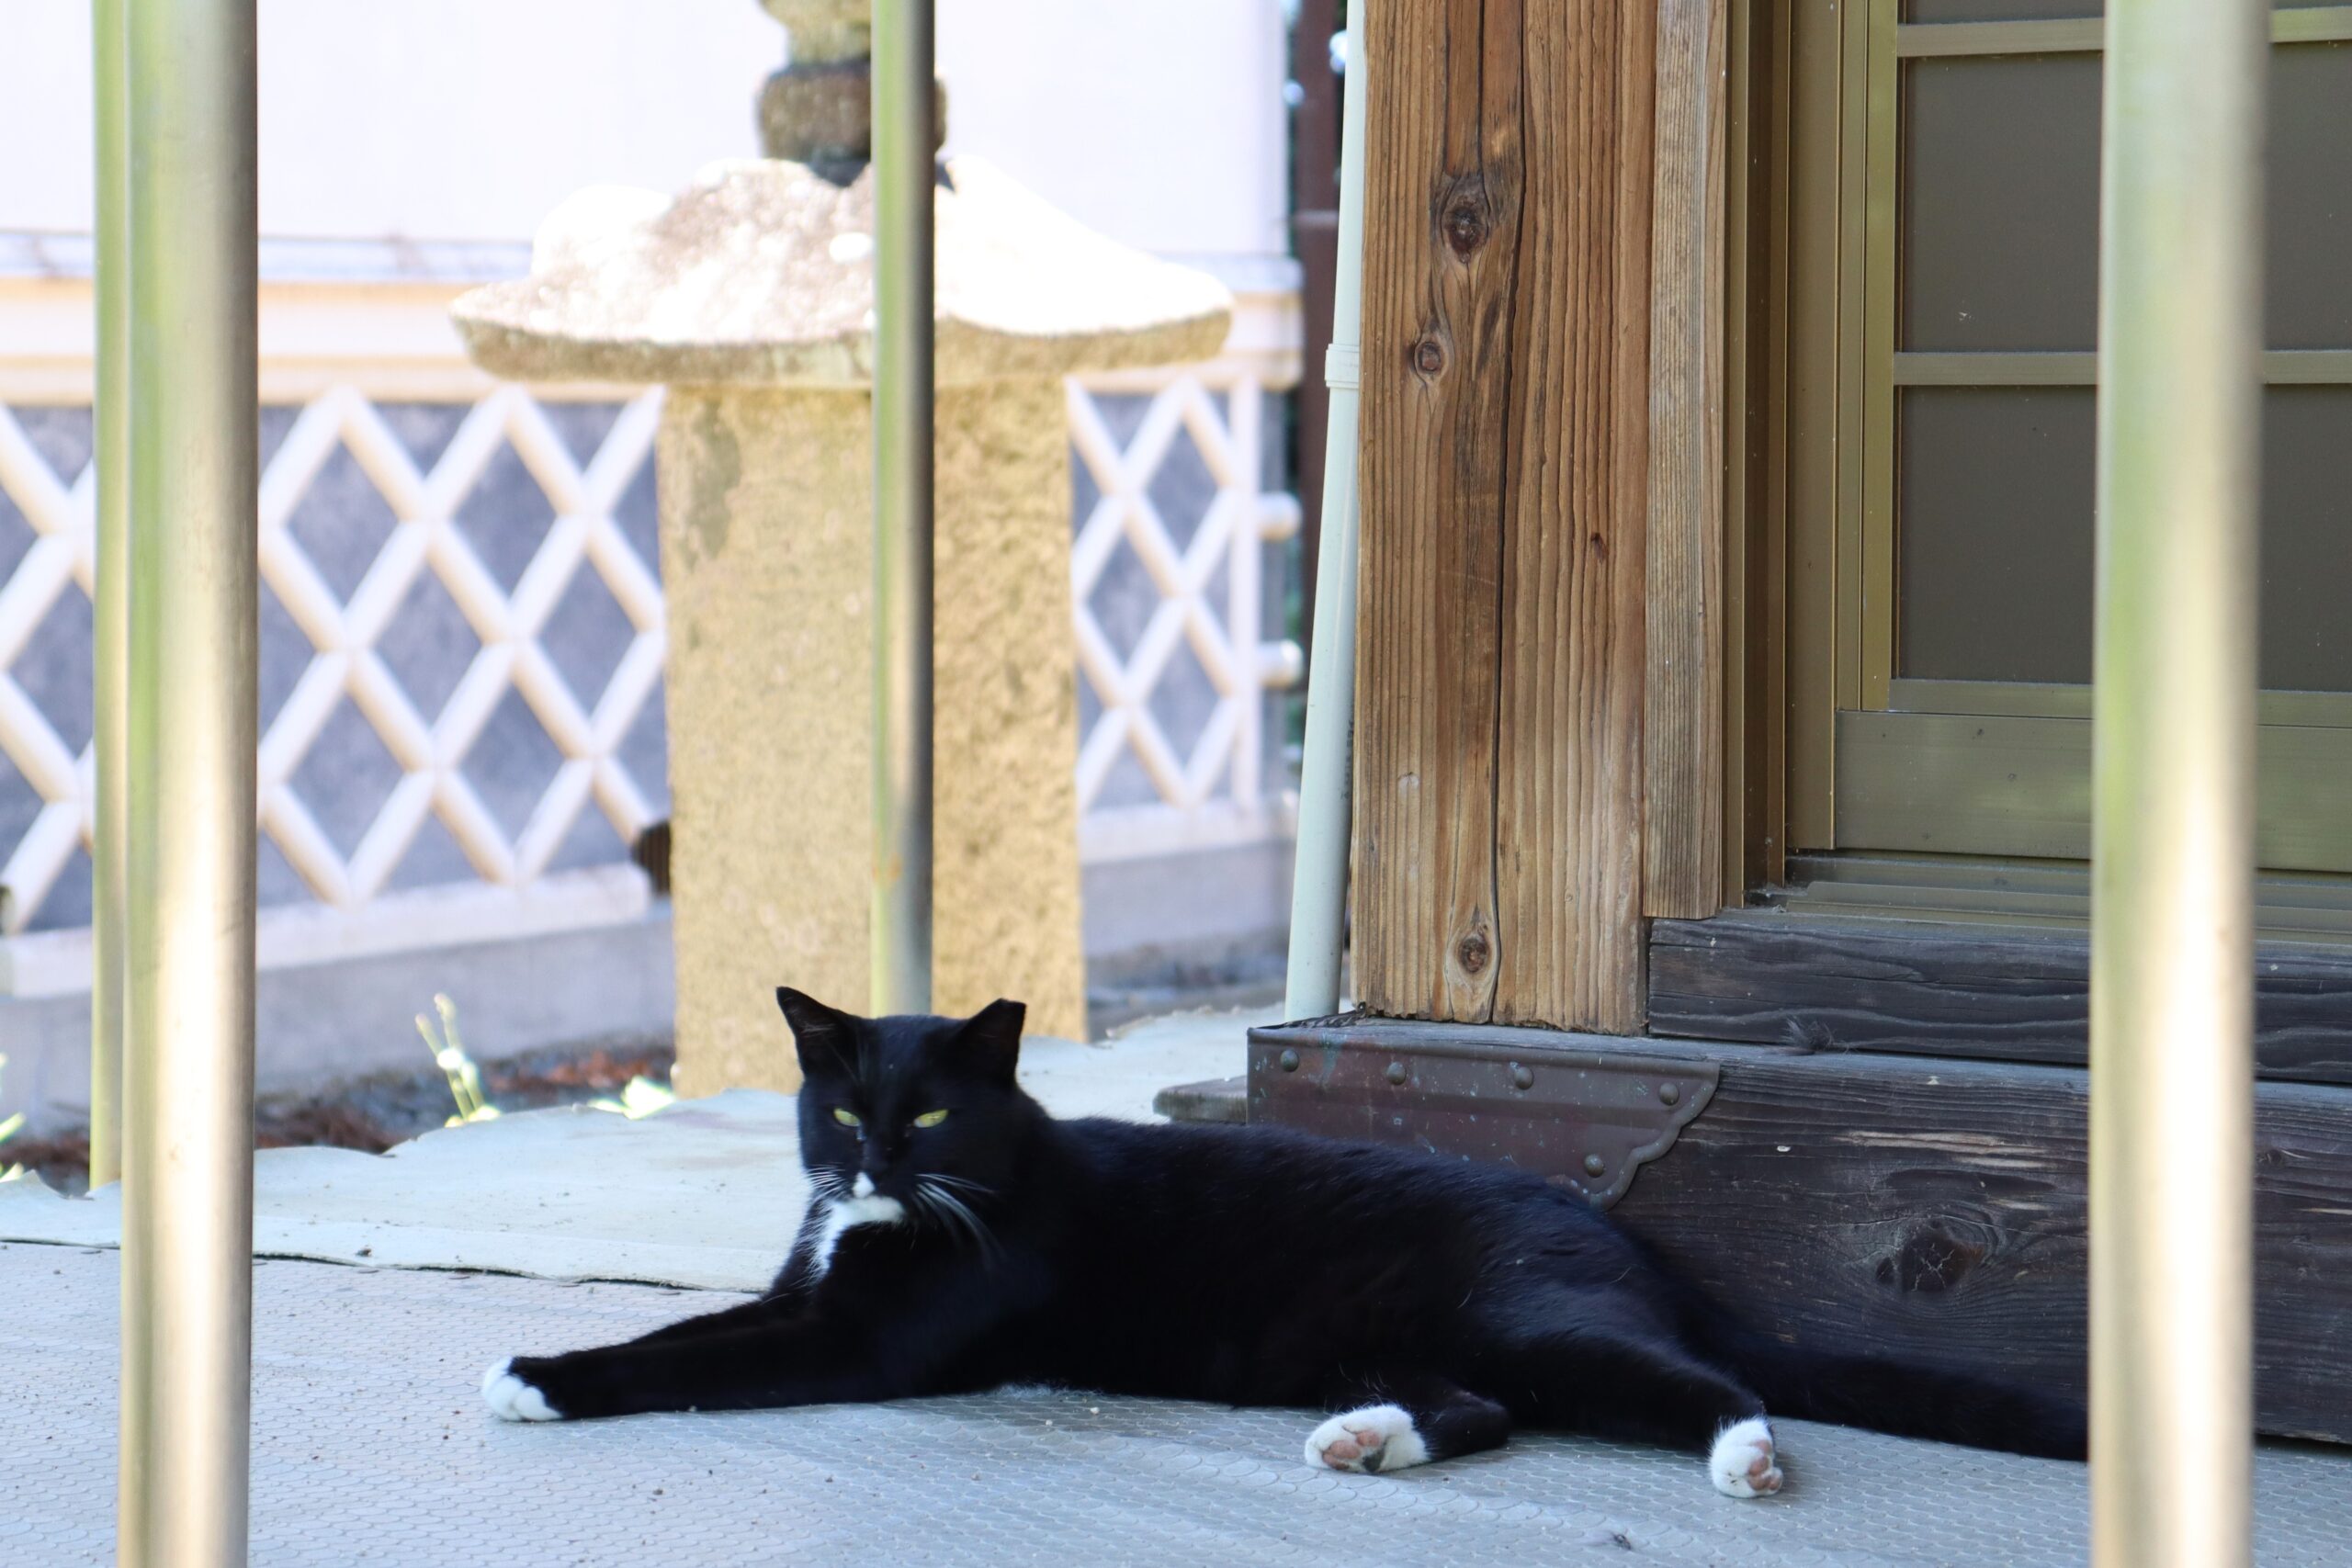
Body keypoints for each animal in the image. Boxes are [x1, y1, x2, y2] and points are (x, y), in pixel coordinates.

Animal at [486, 991, 2088, 1495]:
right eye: (840, 1103)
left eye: (932, 1107)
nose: (872, 1155)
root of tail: (1629, 1244)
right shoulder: (806, 1291)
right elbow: (690, 1327)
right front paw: (537, 1365)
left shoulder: (858, 1338)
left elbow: (696, 1359)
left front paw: (544, 1380)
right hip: (1399, 1334)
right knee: (1480, 1408)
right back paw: (1365, 1439)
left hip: (1535, 1313)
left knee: (1714, 1386)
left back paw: (1745, 1460)